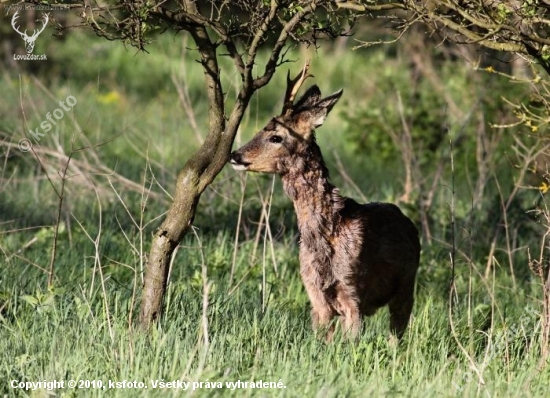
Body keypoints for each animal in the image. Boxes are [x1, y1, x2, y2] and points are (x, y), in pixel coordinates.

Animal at [229, 68, 422, 338]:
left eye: (276, 137)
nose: (235, 155)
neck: (328, 231)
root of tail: (407, 219)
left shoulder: (353, 291)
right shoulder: (315, 295)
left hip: (406, 286)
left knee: (397, 332)